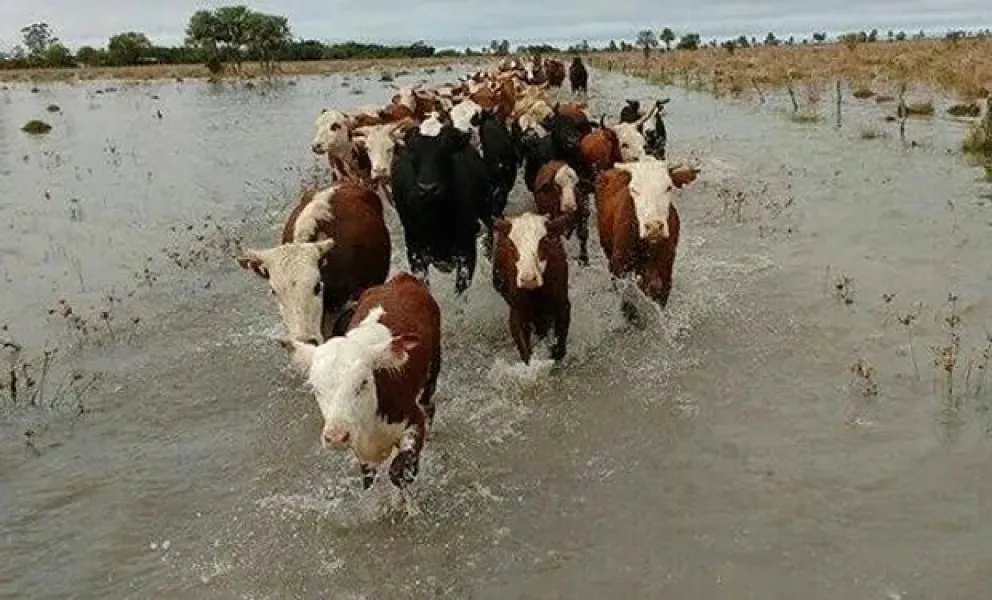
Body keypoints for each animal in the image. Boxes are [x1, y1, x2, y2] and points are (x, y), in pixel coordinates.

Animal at [279, 272, 442, 491]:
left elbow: (399, 470)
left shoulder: (413, 419)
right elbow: (370, 479)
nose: (336, 437)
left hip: (432, 370)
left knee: (428, 404)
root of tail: (402, 278)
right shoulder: (362, 452)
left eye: (363, 382)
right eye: (315, 388)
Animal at [492, 213, 571, 364]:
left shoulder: (563, 306)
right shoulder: (516, 314)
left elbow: (559, 349)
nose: (528, 279)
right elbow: (526, 354)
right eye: (512, 245)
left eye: (544, 241)